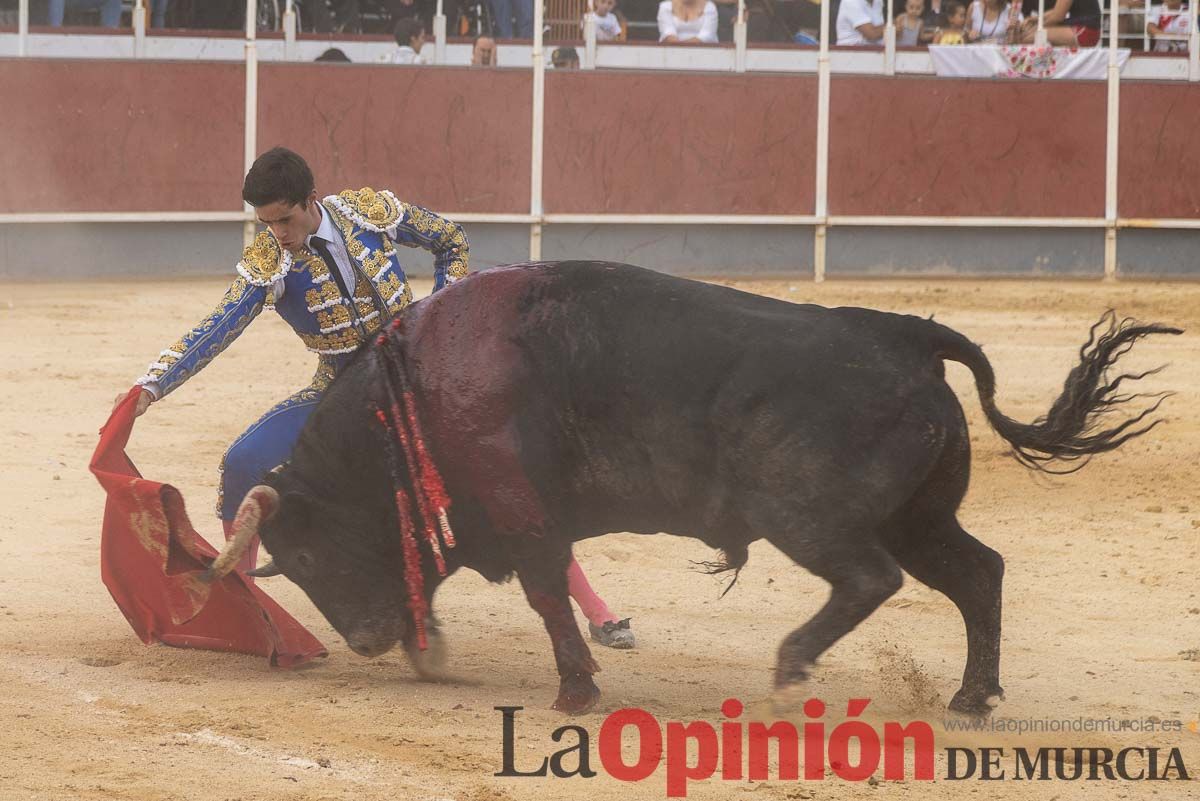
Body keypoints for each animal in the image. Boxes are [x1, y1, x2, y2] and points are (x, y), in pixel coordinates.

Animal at [208, 261, 1180, 714]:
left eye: (303, 554)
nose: (368, 640)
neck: (413, 388)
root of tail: (907, 336)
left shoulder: (526, 517)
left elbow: (546, 594)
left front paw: (575, 689)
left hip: (809, 515)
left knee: (873, 578)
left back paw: (791, 665)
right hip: (920, 516)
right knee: (978, 572)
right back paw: (971, 697)